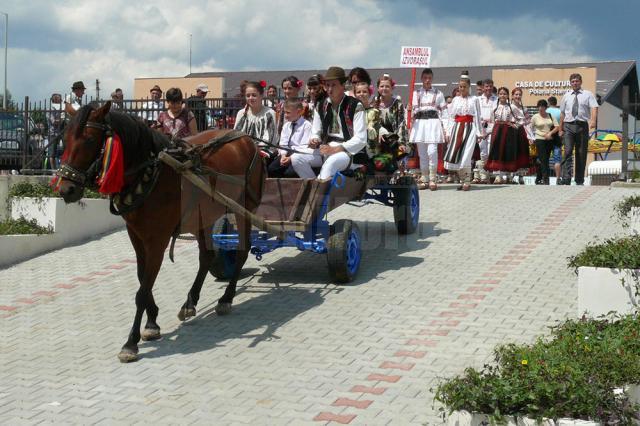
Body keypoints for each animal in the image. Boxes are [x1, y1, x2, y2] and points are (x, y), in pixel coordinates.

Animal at [56, 101, 264, 362]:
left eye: (90, 140)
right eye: (65, 139)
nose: (66, 189)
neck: (149, 174)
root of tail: (246, 138)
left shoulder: (158, 240)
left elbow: (143, 289)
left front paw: (131, 342)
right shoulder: (135, 235)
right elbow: (141, 277)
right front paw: (152, 322)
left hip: (245, 208)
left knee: (242, 251)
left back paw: (227, 298)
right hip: (204, 215)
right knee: (207, 256)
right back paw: (190, 302)